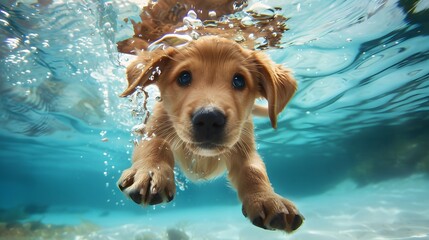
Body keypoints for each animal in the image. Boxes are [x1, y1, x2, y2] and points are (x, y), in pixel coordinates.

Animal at [117, 36, 302, 232]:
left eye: (239, 81)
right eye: (184, 77)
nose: (209, 118)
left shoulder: (244, 146)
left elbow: (254, 170)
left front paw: (267, 198)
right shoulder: (153, 129)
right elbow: (156, 144)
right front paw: (151, 171)